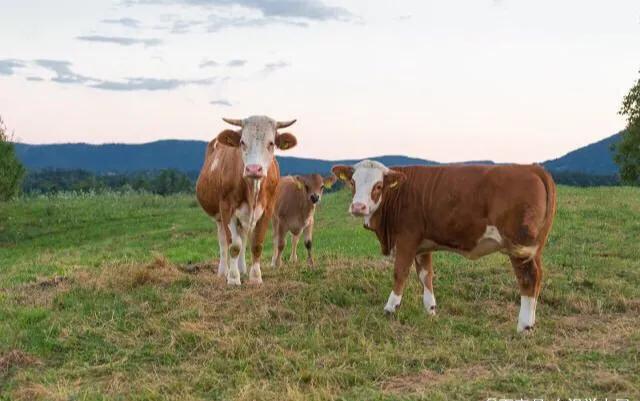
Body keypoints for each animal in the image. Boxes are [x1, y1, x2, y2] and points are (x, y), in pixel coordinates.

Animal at [195, 115, 298, 284]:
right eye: (242, 142)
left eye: (271, 143)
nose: (254, 169)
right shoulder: (226, 208)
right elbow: (234, 245)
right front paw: (233, 278)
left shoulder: (267, 210)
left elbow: (256, 244)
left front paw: (255, 277)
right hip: (219, 217)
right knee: (224, 242)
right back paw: (224, 271)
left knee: (243, 238)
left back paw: (242, 269)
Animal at [330, 159, 556, 332]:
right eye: (353, 182)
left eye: (378, 186)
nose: (358, 207)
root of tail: (532, 168)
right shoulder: (422, 245)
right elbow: (425, 274)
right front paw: (430, 309)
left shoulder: (406, 238)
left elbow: (400, 272)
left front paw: (391, 307)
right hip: (534, 249)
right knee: (538, 278)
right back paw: (531, 322)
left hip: (520, 246)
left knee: (528, 279)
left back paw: (524, 327)